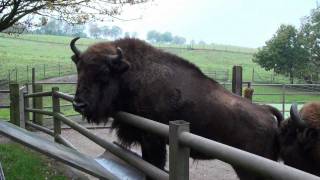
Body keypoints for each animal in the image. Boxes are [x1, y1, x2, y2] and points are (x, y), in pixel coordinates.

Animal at [70, 37, 282, 179]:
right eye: (79, 69)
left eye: (104, 72)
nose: (78, 104)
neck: (130, 73)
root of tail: (266, 113)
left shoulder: (152, 139)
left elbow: (154, 165)